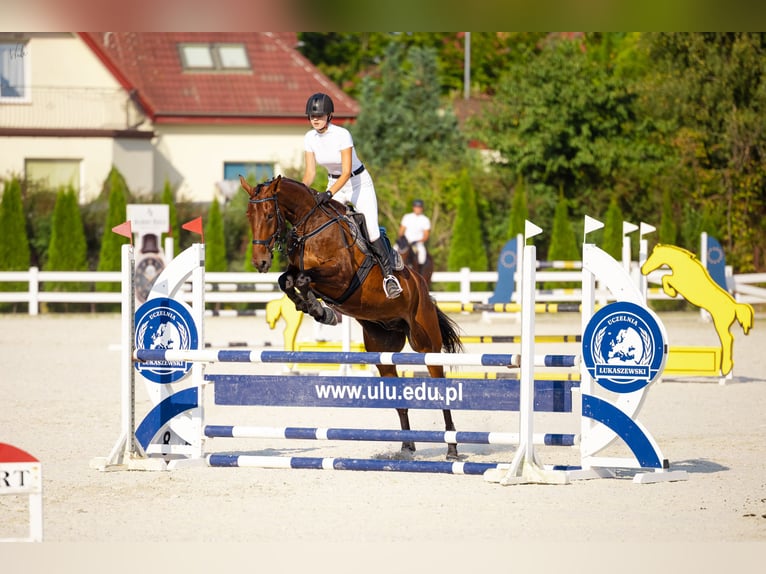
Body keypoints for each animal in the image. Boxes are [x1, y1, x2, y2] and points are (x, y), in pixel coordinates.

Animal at [240, 175, 464, 459]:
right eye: (249, 216)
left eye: (269, 215)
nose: (259, 262)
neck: (310, 226)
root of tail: (422, 286)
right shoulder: (300, 272)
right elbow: (287, 280)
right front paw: (316, 309)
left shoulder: (342, 277)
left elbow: (303, 278)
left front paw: (319, 310)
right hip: (382, 350)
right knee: (398, 396)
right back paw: (406, 447)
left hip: (425, 344)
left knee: (440, 389)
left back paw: (452, 449)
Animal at [641, 244, 754, 376]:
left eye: (653, 256)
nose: (642, 269)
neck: (681, 264)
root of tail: (735, 305)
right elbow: (665, 277)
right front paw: (671, 292)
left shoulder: (678, 282)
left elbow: (665, 277)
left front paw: (671, 293)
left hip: (720, 324)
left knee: (728, 339)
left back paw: (726, 368)